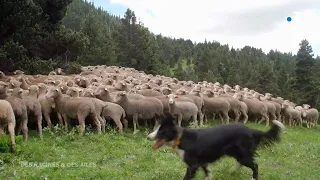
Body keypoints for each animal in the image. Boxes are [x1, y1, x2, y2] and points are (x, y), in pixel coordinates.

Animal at [146, 114, 284, 180]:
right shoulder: (202, 162)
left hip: (242, 154)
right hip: (236, 153)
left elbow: (187, 176)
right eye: (156, 129)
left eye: (161, 132)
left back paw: (253, 178)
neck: (180, 138)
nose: (148, 137)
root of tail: (250, 130)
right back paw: (233, 171)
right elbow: (208, 173)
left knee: (254, 165)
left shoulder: (193, 165)